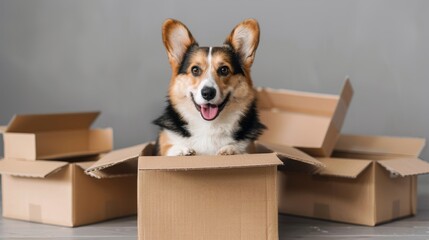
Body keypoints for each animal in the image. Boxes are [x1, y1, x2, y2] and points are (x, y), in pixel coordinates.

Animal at [152, 19, 262, 158]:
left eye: (224, 69)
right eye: (195, 70)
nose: (208, 93)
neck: (209, 125)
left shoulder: (251, 148)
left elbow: (243, 151)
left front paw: (231, 150)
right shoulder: (164, 146)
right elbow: (169, 150)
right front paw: (182, 150)